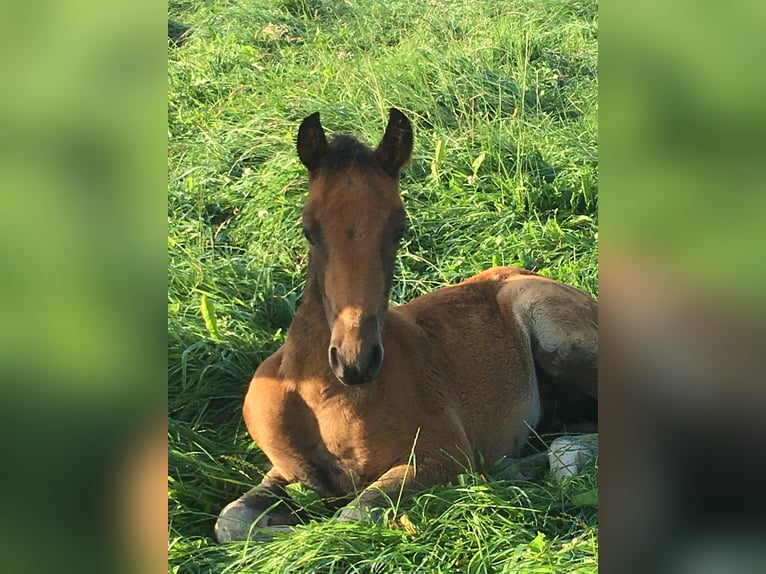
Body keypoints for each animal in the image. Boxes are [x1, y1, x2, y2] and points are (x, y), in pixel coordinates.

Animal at [216, 108, 600, 544]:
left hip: (553, 325)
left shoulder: (439, 453)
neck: (320, 395)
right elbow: (231, 521)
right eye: (308, 229)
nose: (355, 360)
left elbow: (351, 518)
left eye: (399, 227)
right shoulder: (286, 471)